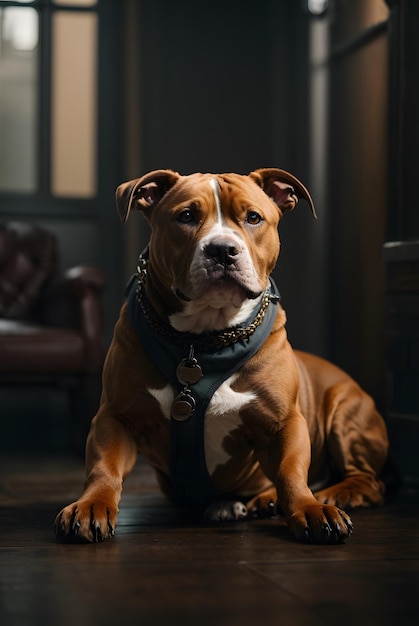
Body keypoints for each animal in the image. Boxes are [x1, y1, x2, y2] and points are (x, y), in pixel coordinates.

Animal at [54, 169, 388, 540]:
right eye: (186, 216)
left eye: (253, 218)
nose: (223, 250)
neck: (202, 341)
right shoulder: (116, 416)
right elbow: (104, 467)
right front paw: (92, 505)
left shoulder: (284, 422)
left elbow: (291, 471)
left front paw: (309, 507)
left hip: (346, 412)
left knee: (370, 482)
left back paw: (334, 494)